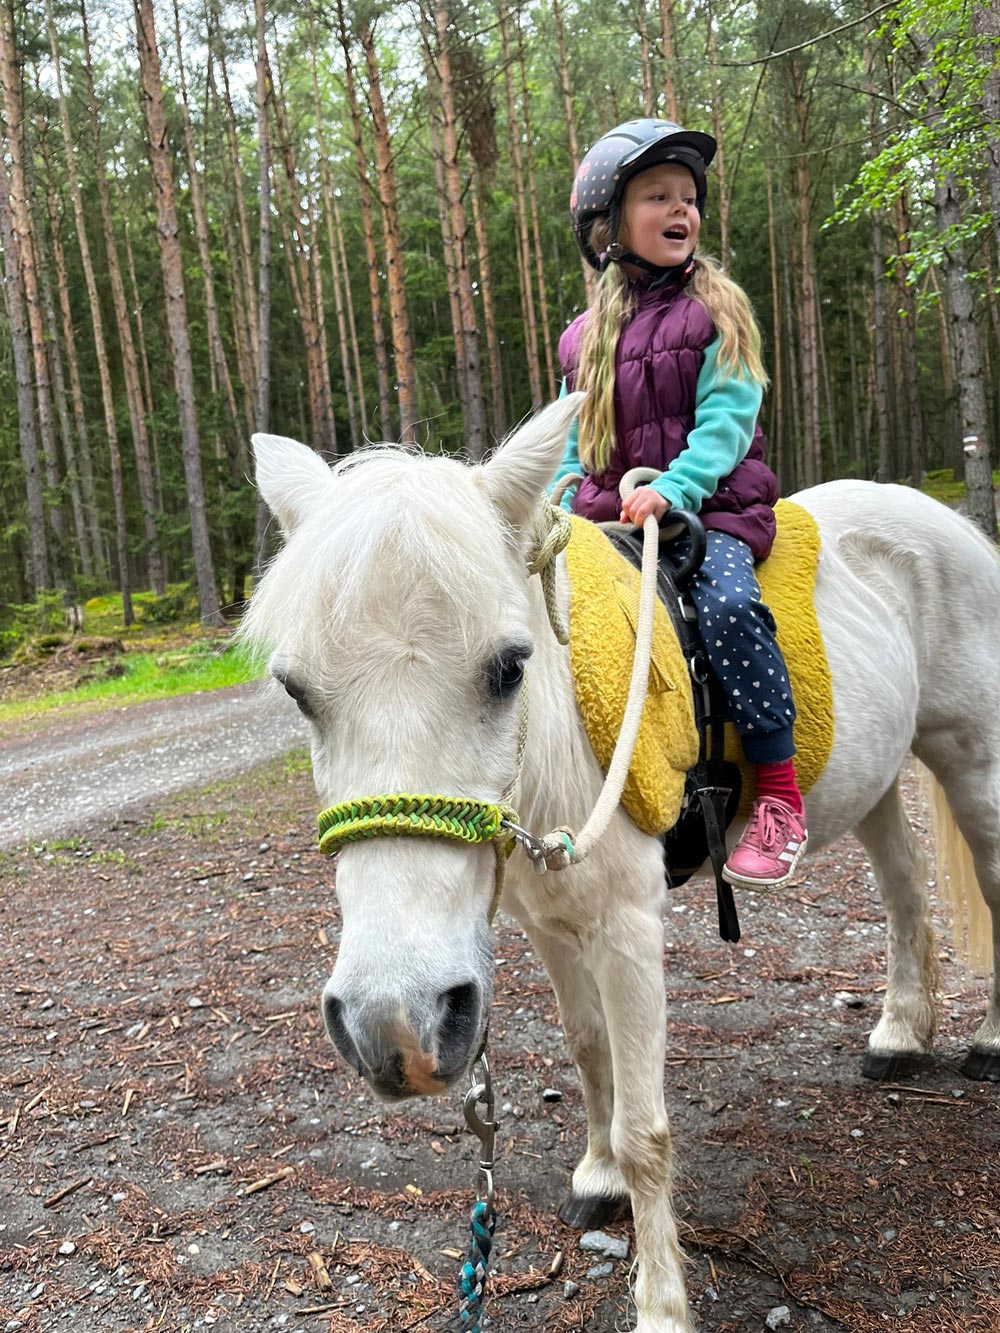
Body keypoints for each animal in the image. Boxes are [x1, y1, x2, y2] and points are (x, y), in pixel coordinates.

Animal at [241, 394, 998, 1333]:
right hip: (876, 778)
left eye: (509, 667)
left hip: (974, 760)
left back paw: (989, 1040)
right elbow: (588, 1049)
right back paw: (899, 1032)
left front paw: (662, 1305)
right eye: (297, 691)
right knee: (902, 891)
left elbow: (647, 1129)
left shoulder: (627, 928)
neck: (557, 747)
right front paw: (598, 1174)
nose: (395, 1027)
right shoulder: (550, 924)